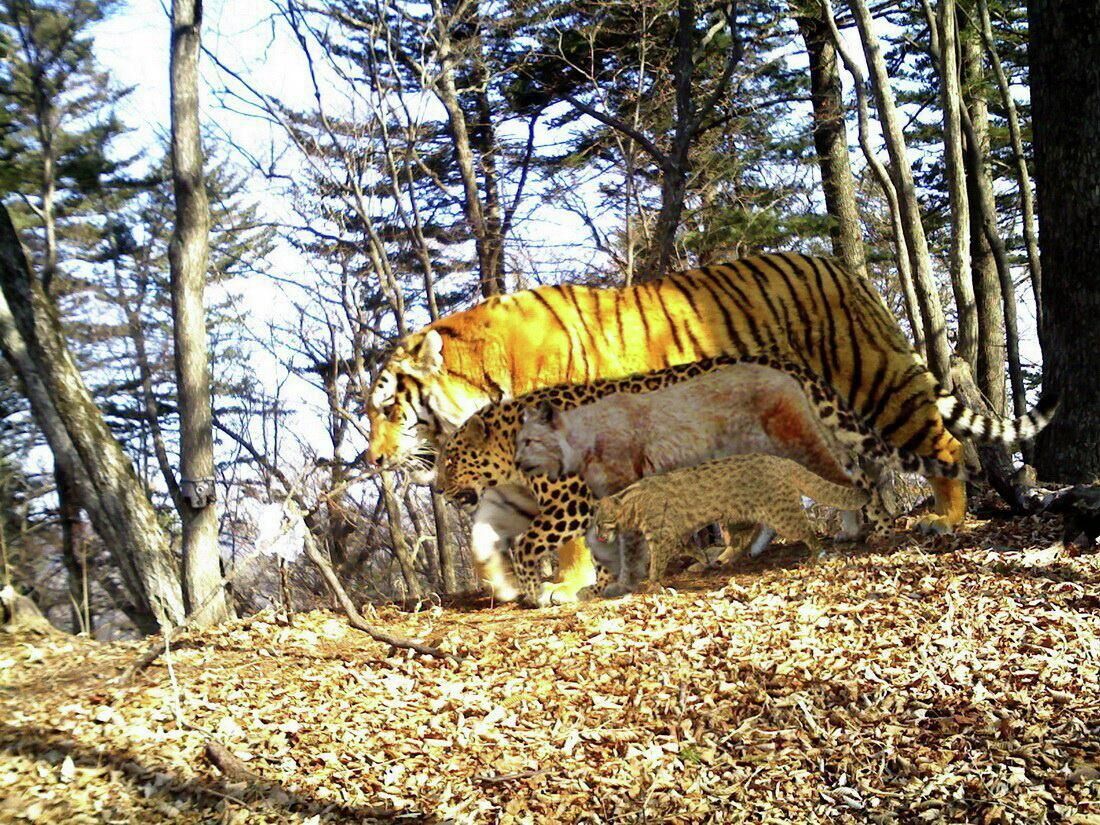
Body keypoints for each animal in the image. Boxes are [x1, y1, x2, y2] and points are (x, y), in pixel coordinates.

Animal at [369, 251, 1056, 536]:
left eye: (387, 408)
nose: (374, 459)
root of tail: (842, 267)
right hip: (825, 409)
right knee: (852, 471)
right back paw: (853, 525)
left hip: (875, 381)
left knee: (946, 448)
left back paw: (946, 519)